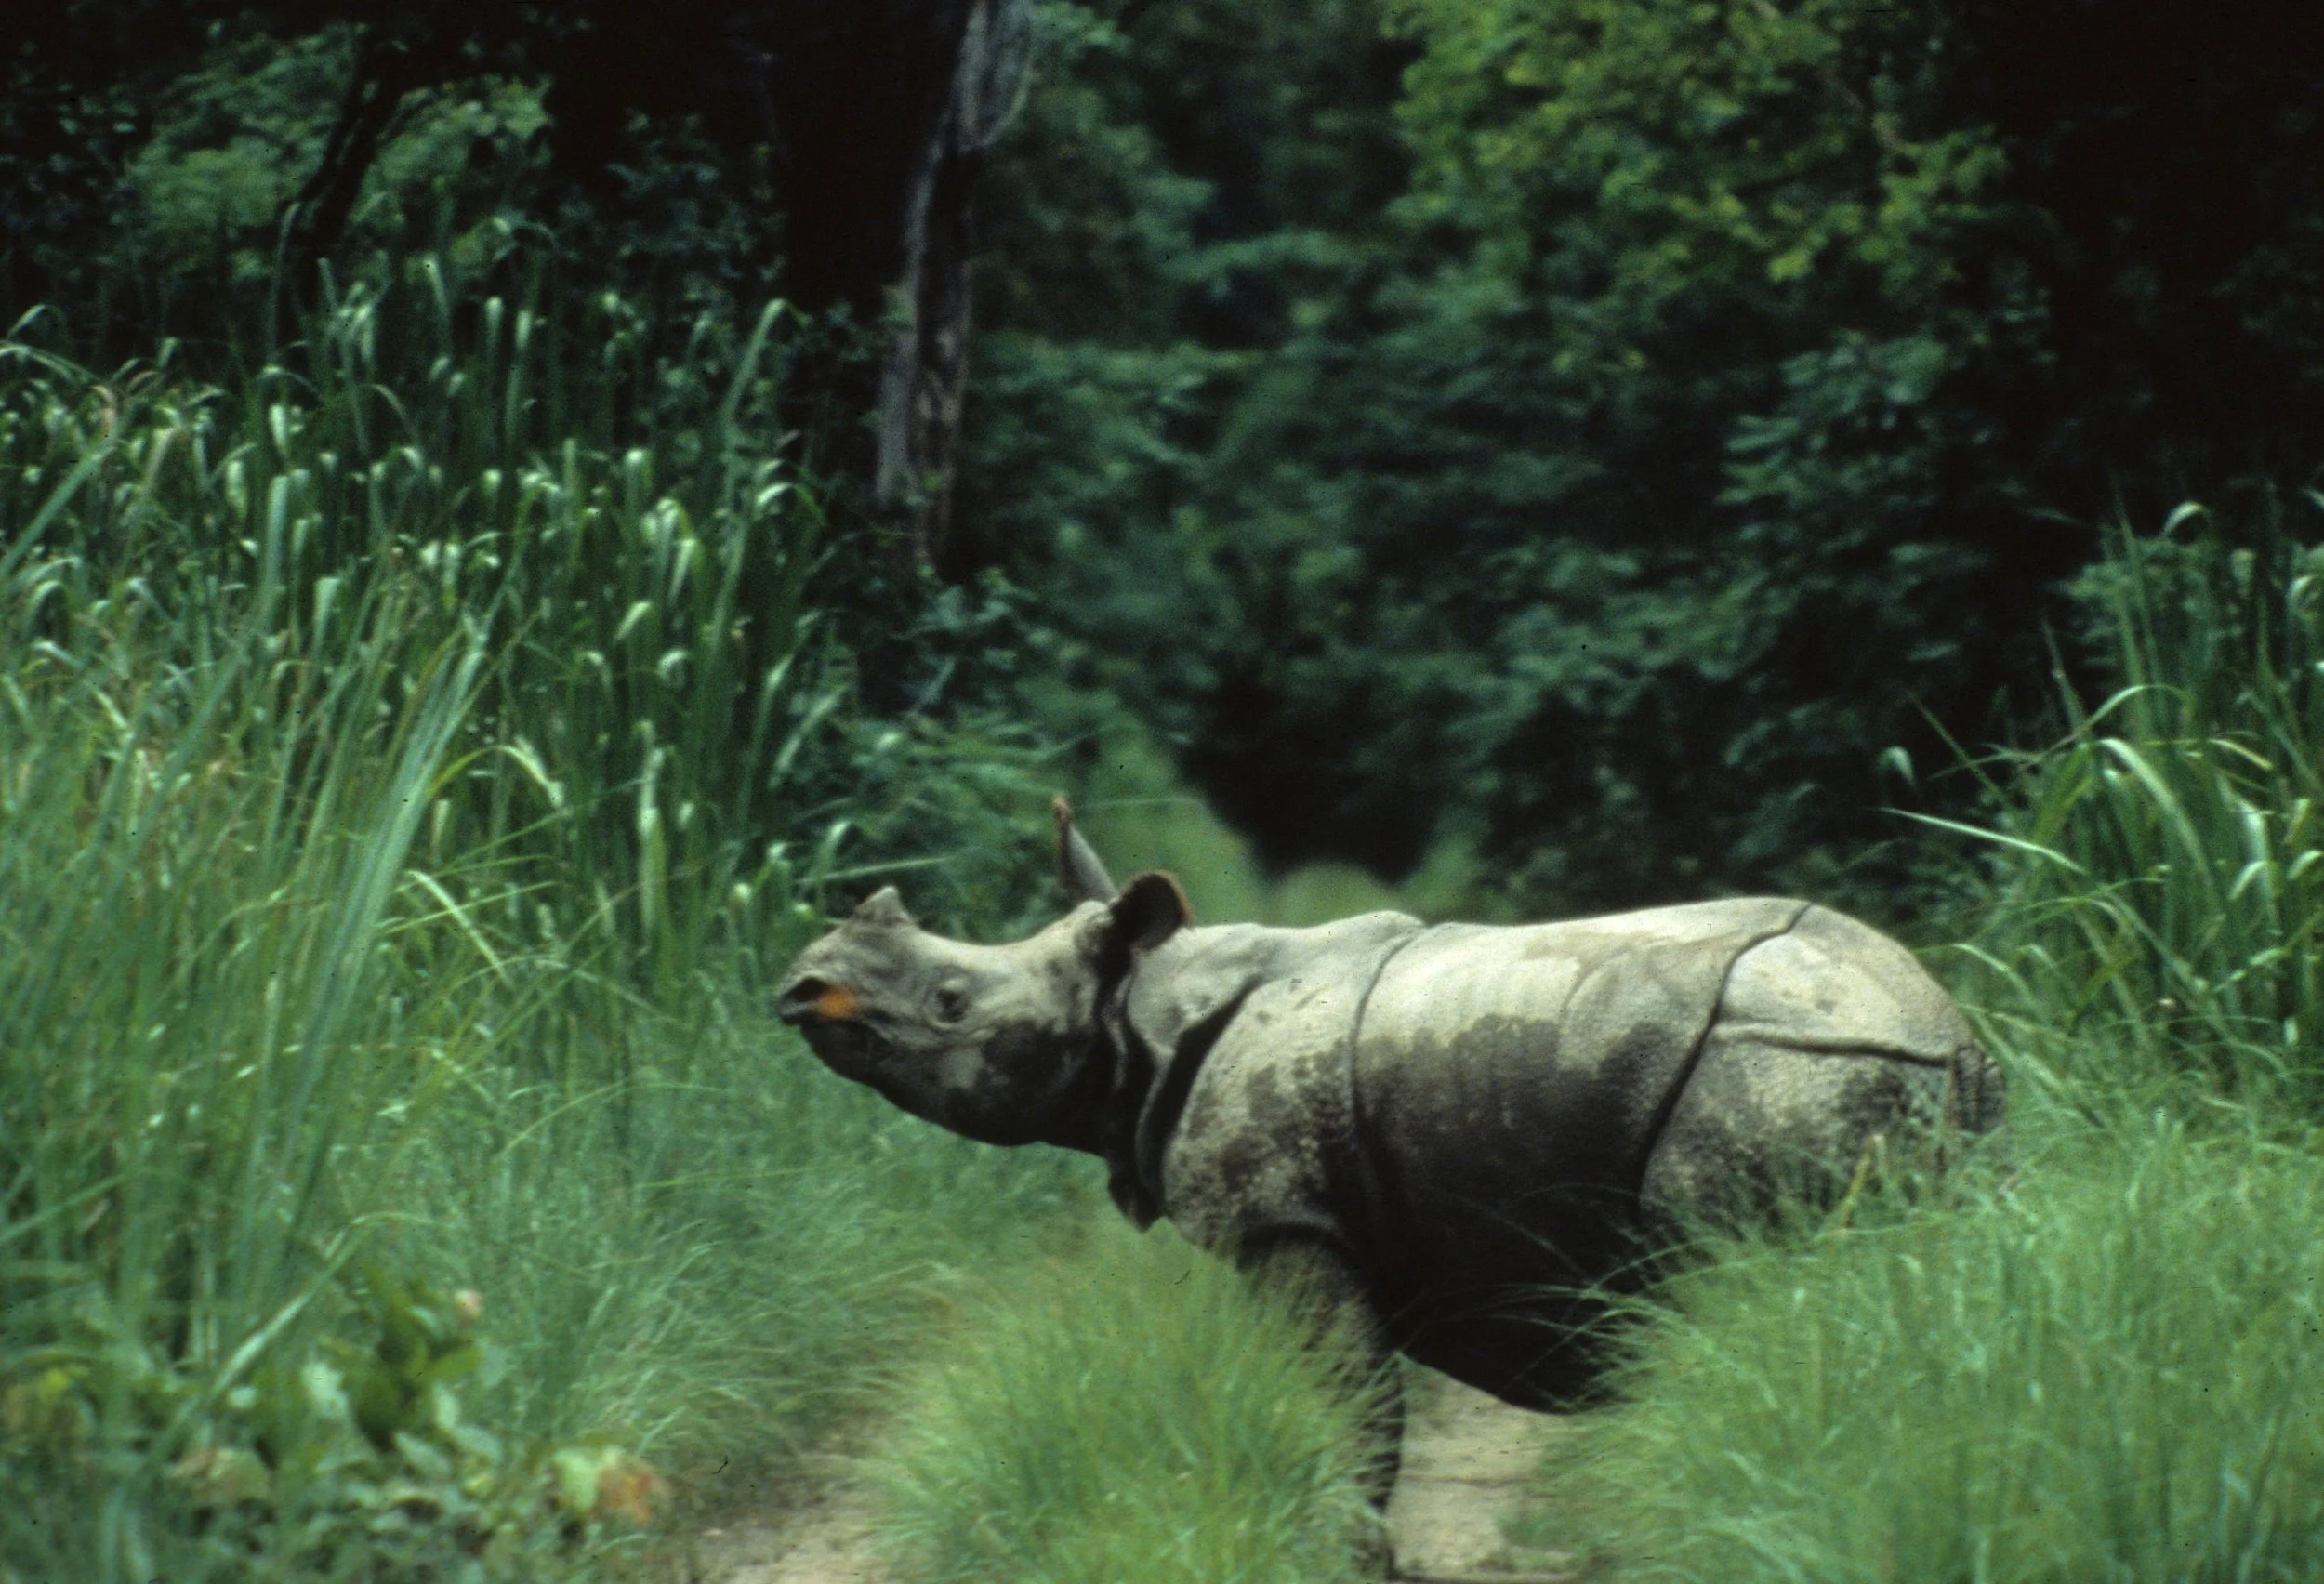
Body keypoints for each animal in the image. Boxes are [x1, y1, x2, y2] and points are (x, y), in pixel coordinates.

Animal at [778, 801, 2002, 1475]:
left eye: (949, 1003)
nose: (801, 986)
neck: (1139, 1005)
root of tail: (1940, 1031)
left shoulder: (1284, 1219)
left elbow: (1353, 1421)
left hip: (1775, 1070)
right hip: (1898, 1086)